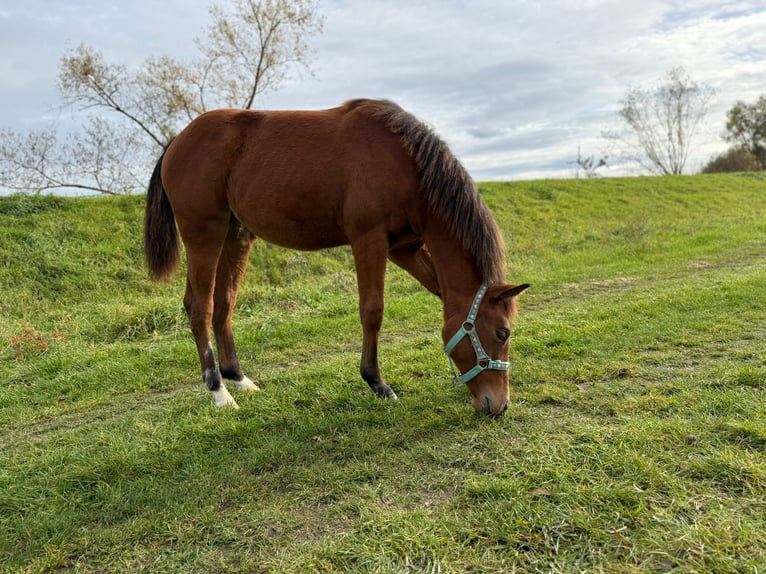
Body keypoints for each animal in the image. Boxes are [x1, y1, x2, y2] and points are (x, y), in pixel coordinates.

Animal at [144, 98, 529, 416]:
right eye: (503, 333)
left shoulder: (404, 248)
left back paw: (238, 378)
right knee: (200, 307)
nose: (499, 405)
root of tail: (176, 141)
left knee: (224, 302)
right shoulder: (369, 239)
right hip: (204, 234)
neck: (402, 164)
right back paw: (219, 392)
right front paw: (377, 383)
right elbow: (372, 311)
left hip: (236, 234)